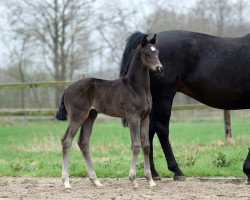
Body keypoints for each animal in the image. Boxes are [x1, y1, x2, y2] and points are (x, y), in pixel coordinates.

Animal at [55, 34, 163, 189]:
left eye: (157, 52)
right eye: (147, 54)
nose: (160, 69)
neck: (135, 87)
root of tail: (68, 89)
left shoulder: (145, 117)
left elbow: (146, 145)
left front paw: (150, 180)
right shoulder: (133, 116)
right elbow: (136, 145)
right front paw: (133, 180)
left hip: (90, 116)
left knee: (83, 143)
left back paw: (96, 181)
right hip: (77, 116)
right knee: (66, 141)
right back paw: (66, 182)